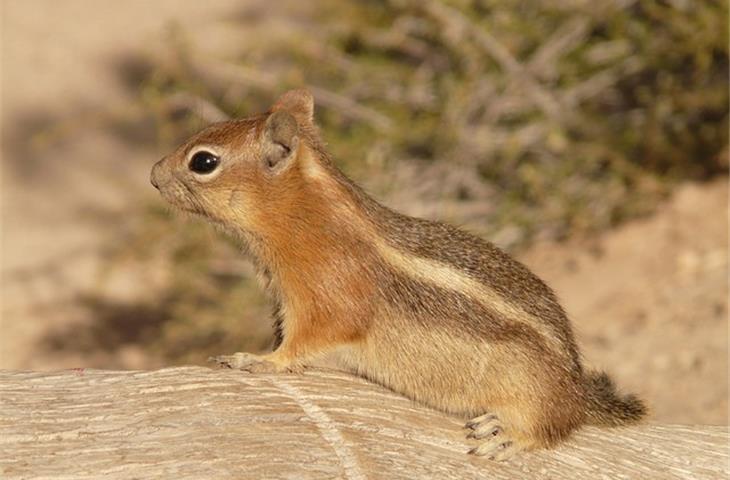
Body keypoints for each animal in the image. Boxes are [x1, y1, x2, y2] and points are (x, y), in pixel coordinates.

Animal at [148, 88, 644, 460]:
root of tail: (577, 387)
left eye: (203, 162)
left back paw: (508, 435)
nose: (153, 175)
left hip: (531, 389)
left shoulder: (327, 301)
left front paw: (256, 360)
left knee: (556, 426)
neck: (307, 218)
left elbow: (302, 344)